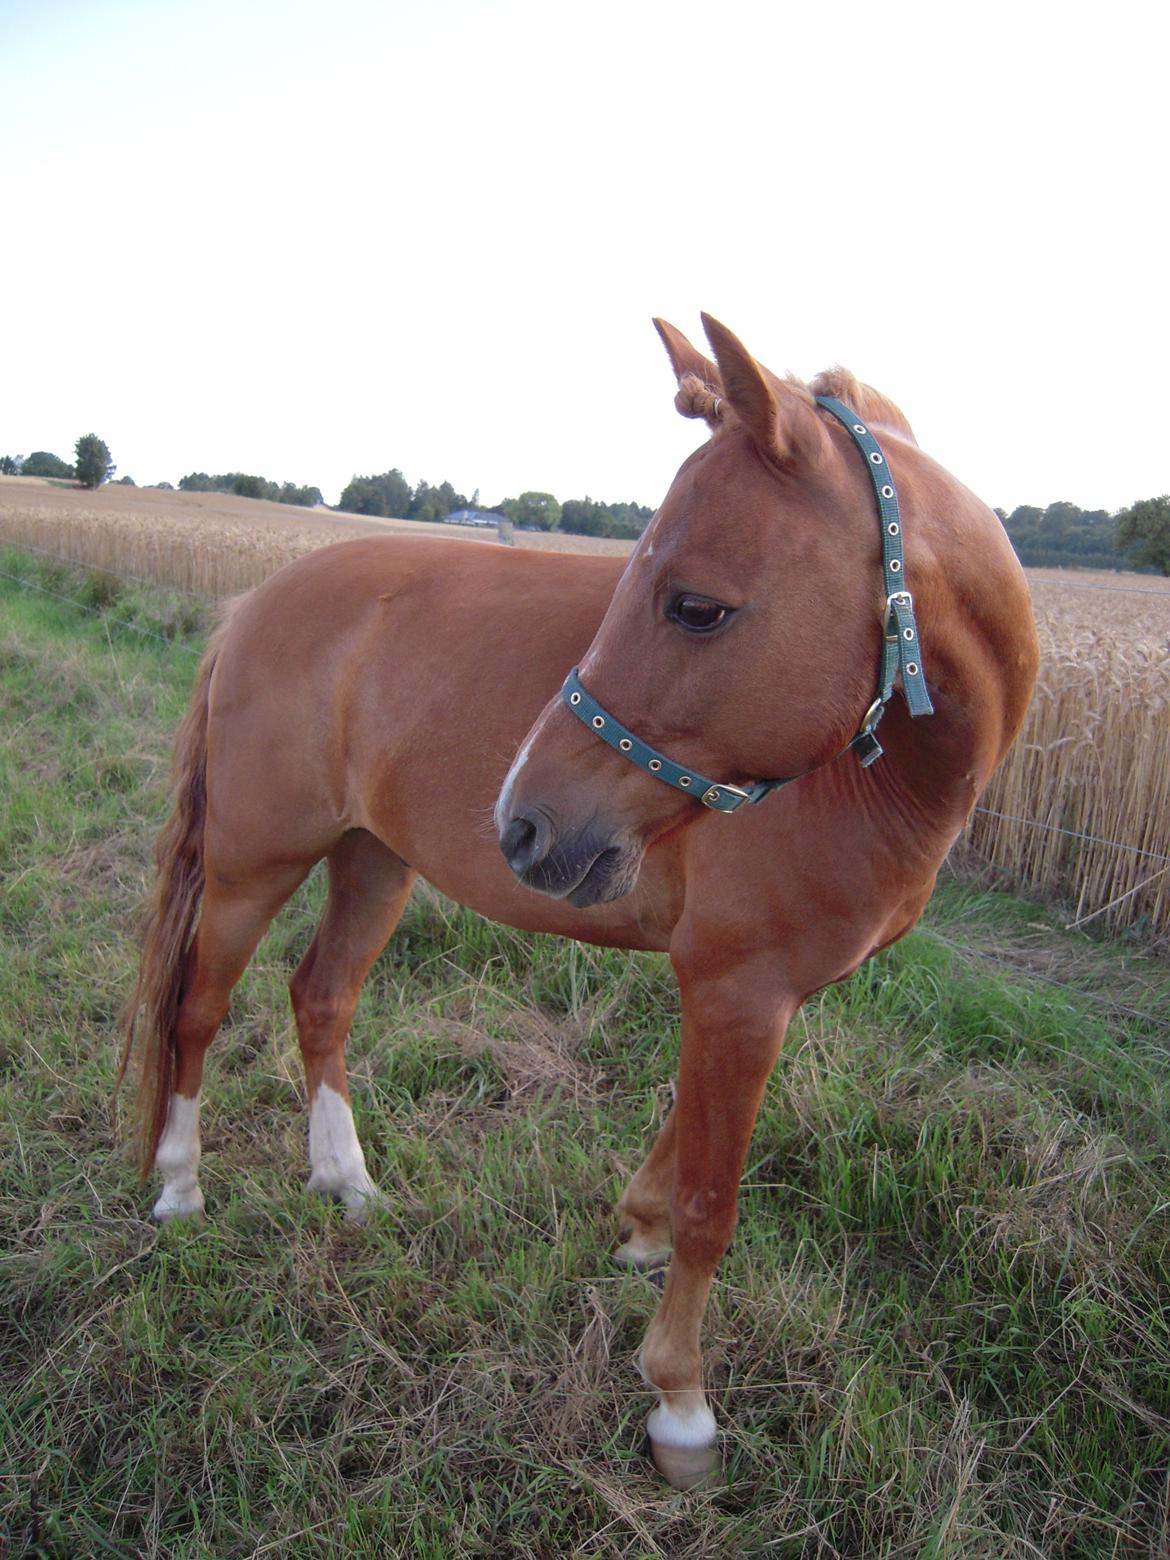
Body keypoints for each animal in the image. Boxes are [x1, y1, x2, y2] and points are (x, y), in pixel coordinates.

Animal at [127, 313, 1042, 1485]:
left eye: (696, 607)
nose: (522, 824)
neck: (872, 774)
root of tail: (256, 603)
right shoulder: (739, 991)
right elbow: (711, 1201)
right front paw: (680, 1404)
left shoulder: (745, 999)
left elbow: (680, 1152)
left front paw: (635, 1235)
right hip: (253, 861)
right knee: (197, 1011)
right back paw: (181, 1187)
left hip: (372, 859)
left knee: (321, 997)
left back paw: (347, 1184)